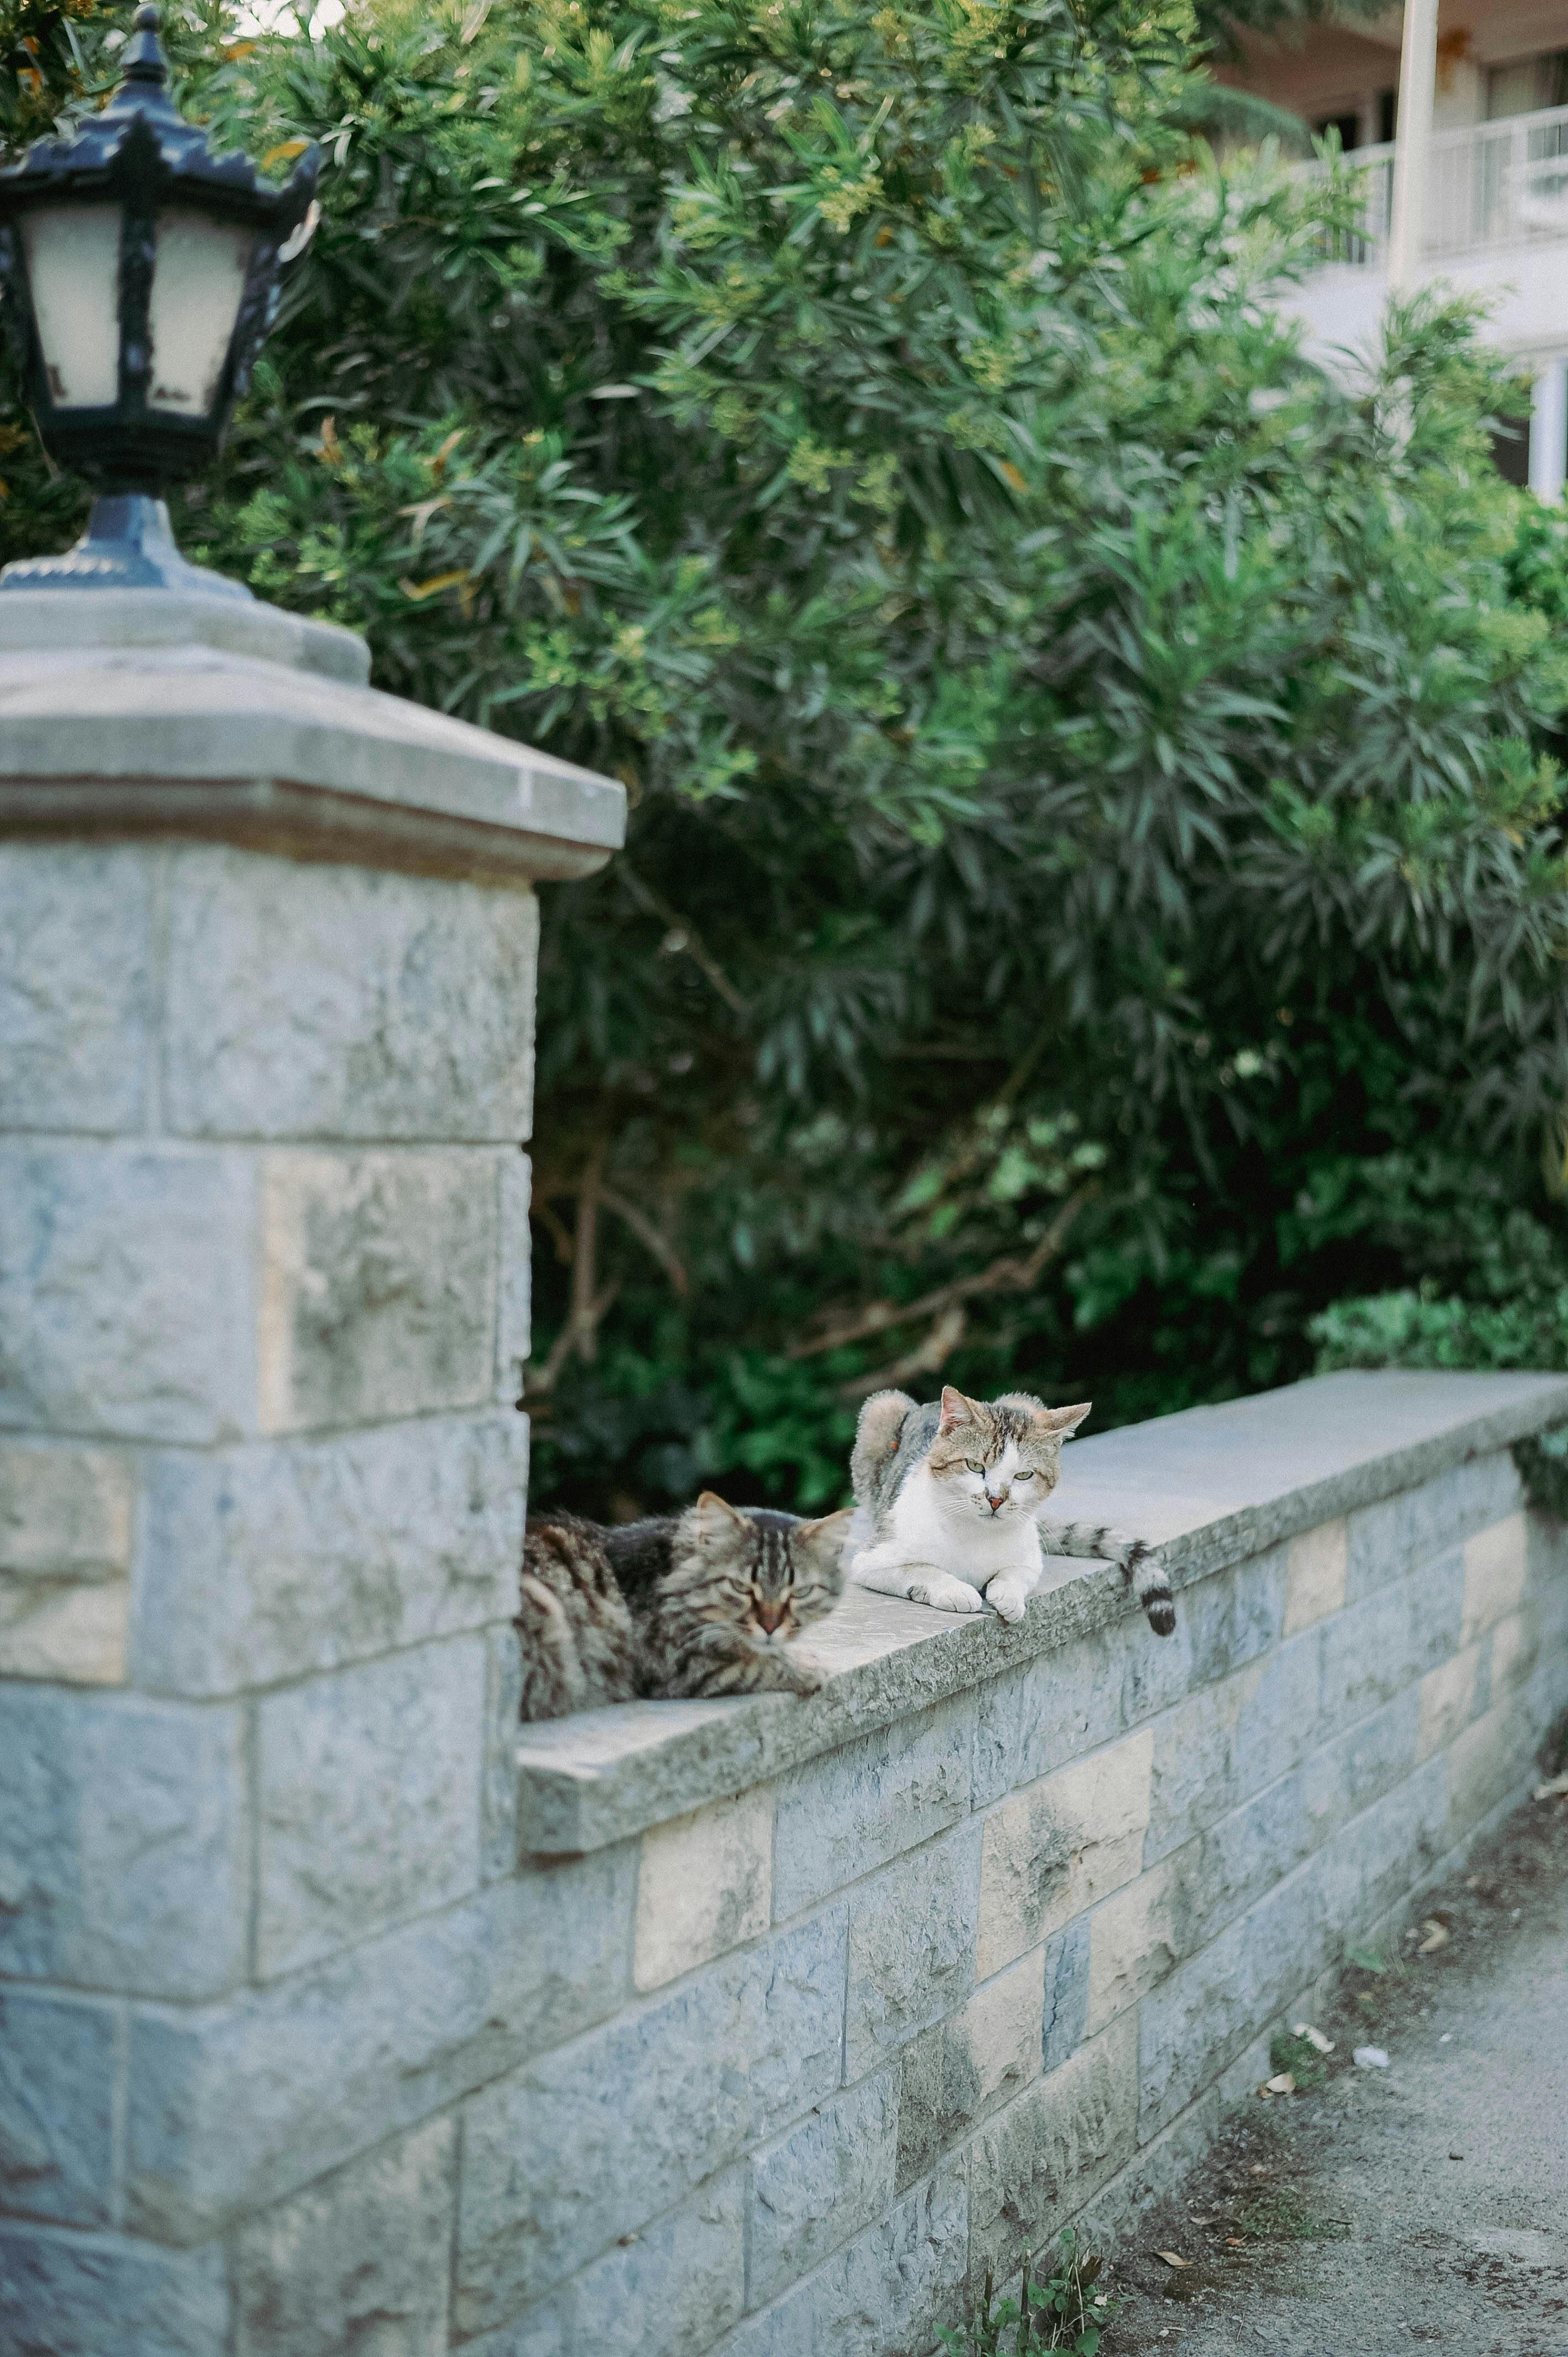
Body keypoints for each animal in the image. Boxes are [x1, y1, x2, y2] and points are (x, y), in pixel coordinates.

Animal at [516, 1499, 849, 1725]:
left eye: (801, 1593)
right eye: (741, 1587)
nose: (770, 1627)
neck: (668, 1573)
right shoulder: (680, 1664)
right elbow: (759, 1664)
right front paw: (808, 1666)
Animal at [849, 1376, 1169, 1640]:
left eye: (1024, 1475)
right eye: (975, 1466)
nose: (995, 1498)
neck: (976, 1533)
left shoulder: (1030, 1557)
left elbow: (1018, 1572)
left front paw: (1008, 1596)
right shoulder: (872, 1559)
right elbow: (921, 1569)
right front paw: (956, 1590)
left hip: (1024, 1400)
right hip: (882, 1408)